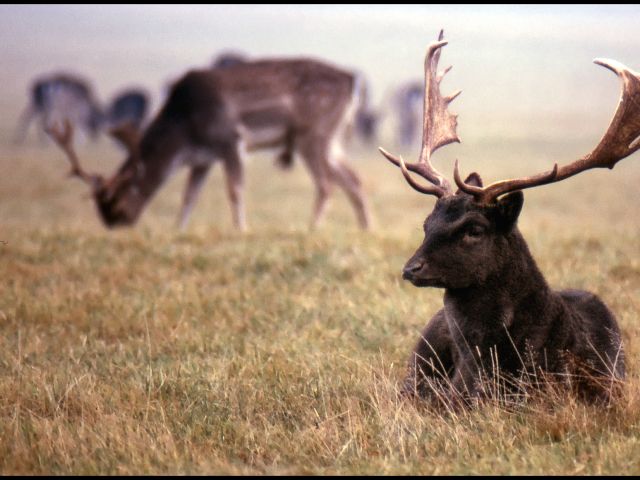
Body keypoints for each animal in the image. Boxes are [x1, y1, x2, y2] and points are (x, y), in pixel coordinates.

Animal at [46, 58, 371, 231]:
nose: (114, 224)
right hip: (328, 140)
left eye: (116, 200)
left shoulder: (231, 139)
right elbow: (189, 196)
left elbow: (235, 190)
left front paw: (241, 230)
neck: (184, 131)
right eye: (99, 207)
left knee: (327, 184)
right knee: (353, 179)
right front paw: (178, 230)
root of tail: (351, 80)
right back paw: (366, 227)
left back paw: (312, 228)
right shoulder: (203, 158)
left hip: (313, 135)